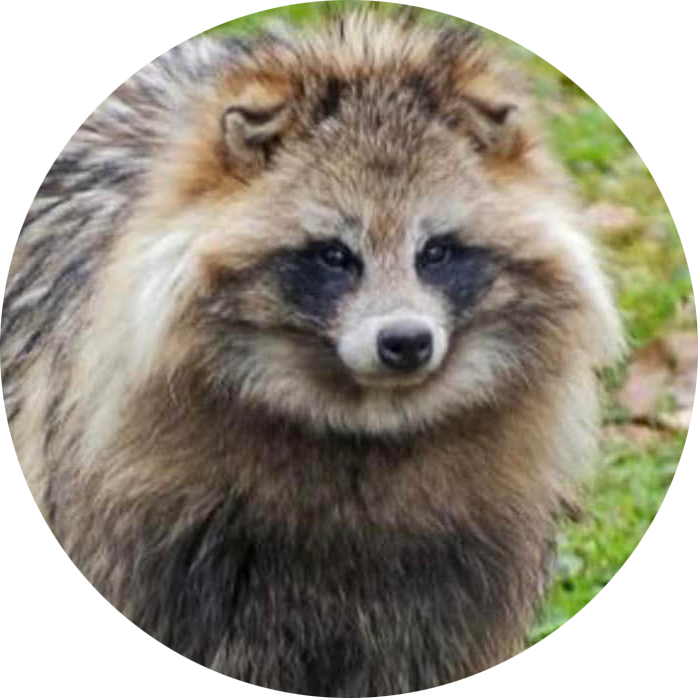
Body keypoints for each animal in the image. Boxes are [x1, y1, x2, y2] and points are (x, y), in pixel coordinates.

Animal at [2, 10, 623, 696]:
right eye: (334, 255)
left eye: (436, 252)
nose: (405, 342)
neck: (363, 422)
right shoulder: (154, 543)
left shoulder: (456, 572)